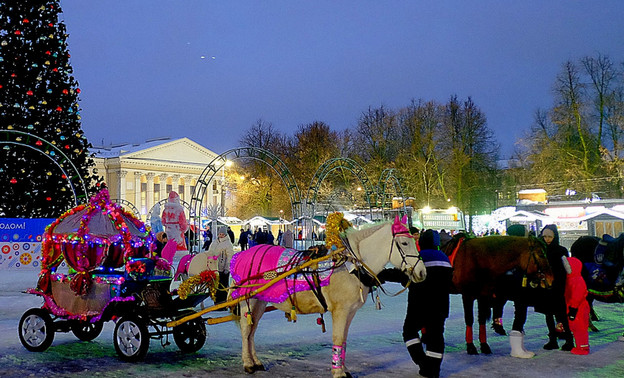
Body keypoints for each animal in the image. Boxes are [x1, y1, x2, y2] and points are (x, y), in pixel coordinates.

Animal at [232, 217, 426, 376]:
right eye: (404, 243)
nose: (422, 272)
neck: (351, 266)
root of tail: (242, 254)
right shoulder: (340, 310)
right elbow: (338, 338)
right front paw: (338, 372)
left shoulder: (350, 311)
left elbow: (344, 339)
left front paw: (343, 368)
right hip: (248, 300)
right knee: (245, 330)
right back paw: (248, 363)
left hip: (260, 301)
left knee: (252, 330)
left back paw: (256, 361)